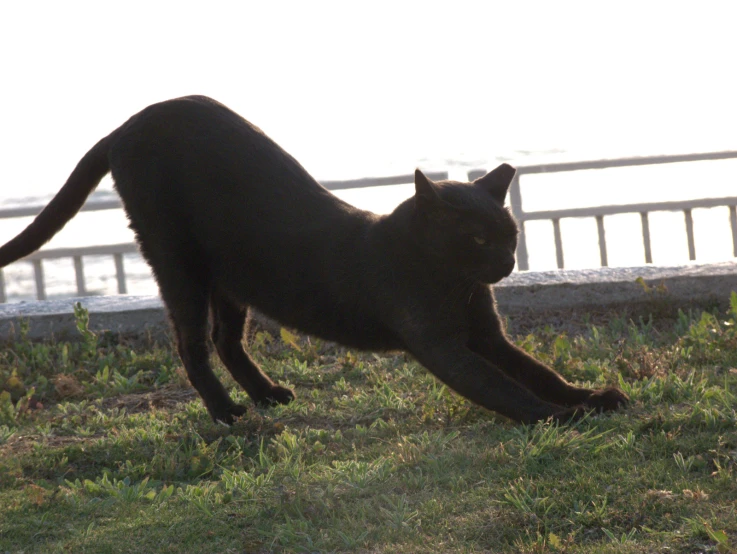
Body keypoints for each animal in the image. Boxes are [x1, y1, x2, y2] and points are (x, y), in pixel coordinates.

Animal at [0, 96, 628, 422]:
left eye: (509, 233)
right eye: (476, 239)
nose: (506, 265)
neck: (456, 283)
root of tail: (127, 123)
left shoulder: (486, 336)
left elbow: (537, 372)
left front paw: (593, 398)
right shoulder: (443, 345)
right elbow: (506, 391)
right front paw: (566, 418)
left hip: (232, 279)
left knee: (228, 340)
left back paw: (268, 396)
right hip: (177, 263)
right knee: (191, 344)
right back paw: (229, 414)